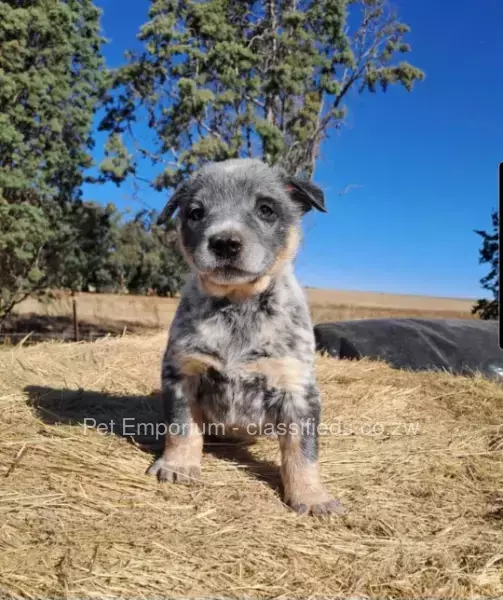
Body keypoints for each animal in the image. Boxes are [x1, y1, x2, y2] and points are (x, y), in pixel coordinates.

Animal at [150, 158, 344, 516]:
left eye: (266, 209)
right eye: (196, 212)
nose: (225, 242)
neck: (238, 305)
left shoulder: (296, 388)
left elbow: (303, 452)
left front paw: (312, 497)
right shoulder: (183, 373)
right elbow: (181, 428)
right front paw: (178, 465)